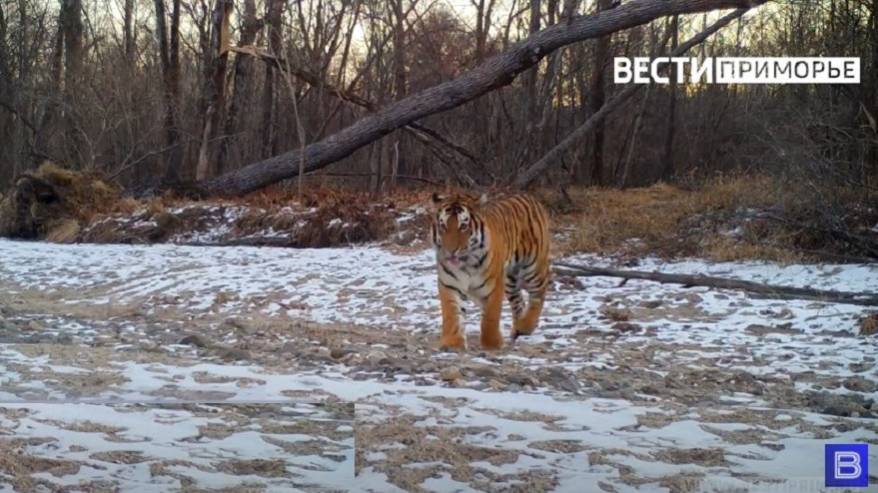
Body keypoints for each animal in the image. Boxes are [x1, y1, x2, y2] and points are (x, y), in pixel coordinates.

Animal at [432, 191, 552, 350]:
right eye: (443, 226)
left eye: (463, 226)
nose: (450, 251)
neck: (466, 262)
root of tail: (530, 197)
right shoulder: (449, 284)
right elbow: (451, 313)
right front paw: (452, 343)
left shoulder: (494, 286)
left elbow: (490, 316)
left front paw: (492, 343)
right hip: (510, 280)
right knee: (519, 303)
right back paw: (517, 329)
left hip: (533, 267)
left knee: (538, 295)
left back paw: (525, 326)